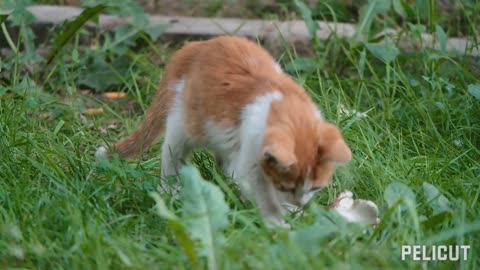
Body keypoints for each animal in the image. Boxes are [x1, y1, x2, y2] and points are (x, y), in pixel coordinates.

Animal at [96, 34, 352, 227]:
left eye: (316, 187)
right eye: (286, 186)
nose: (300, 203)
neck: (288, 109)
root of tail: (194, 47)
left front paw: (294, 214)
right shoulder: (252, 155)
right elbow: (261, 192)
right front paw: (277, 222)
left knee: (224, 161)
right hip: (183, 123)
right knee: (171, 157)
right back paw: (171, 193)